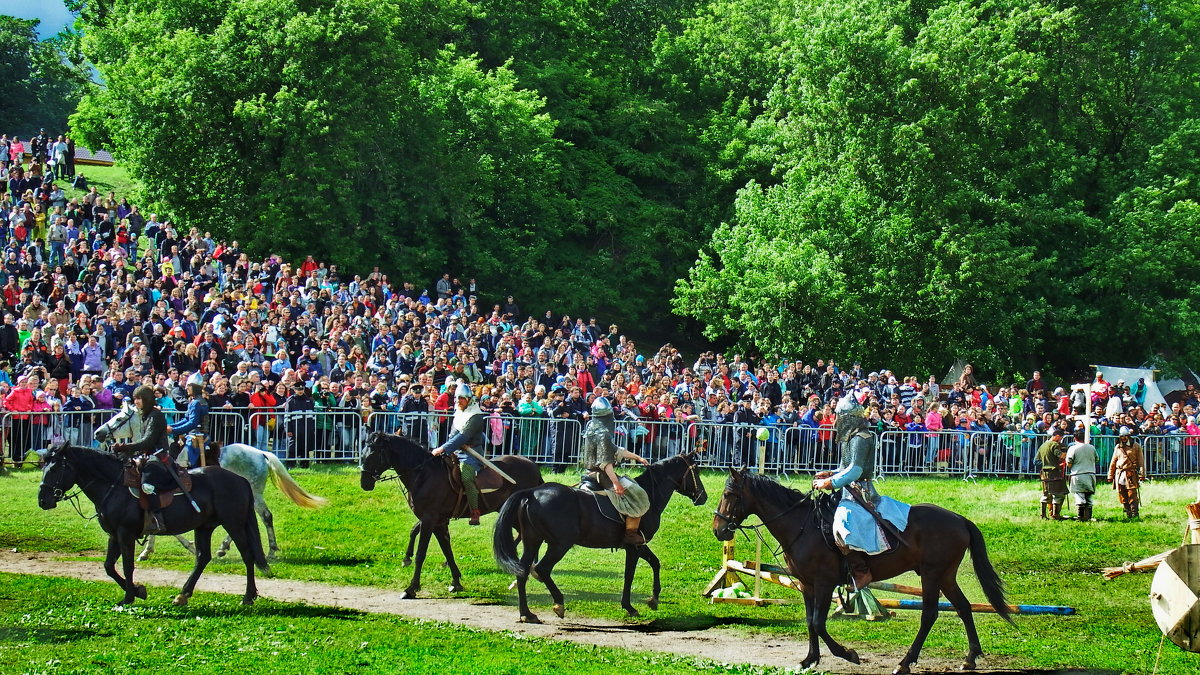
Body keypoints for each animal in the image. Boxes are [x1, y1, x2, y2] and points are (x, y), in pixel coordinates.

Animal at [37, 441, 270, 605]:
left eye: (55, 469)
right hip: (204, 527)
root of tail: (239, 479)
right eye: (44, 467)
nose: (43, 501)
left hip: (234, 524)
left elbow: (127, 565)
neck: (115, 486)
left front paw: (129, 596)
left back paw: (248, 596)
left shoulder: (125, 534)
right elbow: (109, 567)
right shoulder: (114, 535)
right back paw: (183, 595)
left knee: (247, 555)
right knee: (203, 557)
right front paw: (138, 591)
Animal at [139, 439, 328, 559]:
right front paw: (147, 550)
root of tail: (261, 453)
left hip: (253, 494)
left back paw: (269, 551)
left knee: (265, 516)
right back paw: (226, 547)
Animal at [355, 427, 544, 595]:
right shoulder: (438, 522)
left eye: (373, 455)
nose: (364, 483)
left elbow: (421, 553)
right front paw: (455, 581)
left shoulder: (429, 519)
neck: (424, 474)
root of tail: (534, 467)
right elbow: (446, 549)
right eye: (362, 453)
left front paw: (412, 587)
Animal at [492, 449, 705, 624]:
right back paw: (558, 603)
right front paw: (629, 606)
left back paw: (526, 613)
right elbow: (630, 574)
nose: (703, 497)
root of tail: (531, 493)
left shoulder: (639, 545)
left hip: (532, 541)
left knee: (523, 572)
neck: (650, 495)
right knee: (541, 569)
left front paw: (653, 599)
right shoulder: (634, 547)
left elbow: (655, 563)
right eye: (695, 470)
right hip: (559, 545)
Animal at [710, 468, 1012, 672]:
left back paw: (905, 662)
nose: (719, 530)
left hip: (932, 575)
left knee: (929, 614)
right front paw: (810, 659)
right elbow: (809, 622)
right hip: (945, 576)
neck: (802, 525)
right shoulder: (807, 585)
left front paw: (847, 654)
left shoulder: (824, 583)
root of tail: (959, 519)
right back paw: (970, 658)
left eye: (729, 494)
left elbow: (818, 623)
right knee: (963, 607)